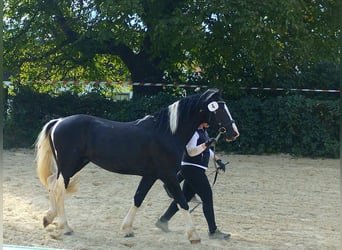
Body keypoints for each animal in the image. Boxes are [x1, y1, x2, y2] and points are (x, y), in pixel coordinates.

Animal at [34, 88, 238, 244]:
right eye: (218, 108)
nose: (233, 132)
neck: (167, 132)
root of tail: (59, 121)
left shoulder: (151, 175)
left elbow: (138, 198)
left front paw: (127, 229)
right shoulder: (168, 175)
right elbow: (182, 201)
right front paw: (194, 236)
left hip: (72, 165)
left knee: (52, 184)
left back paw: (48, 218)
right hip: (69, 165)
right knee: (59, 190)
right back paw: (65, 227)